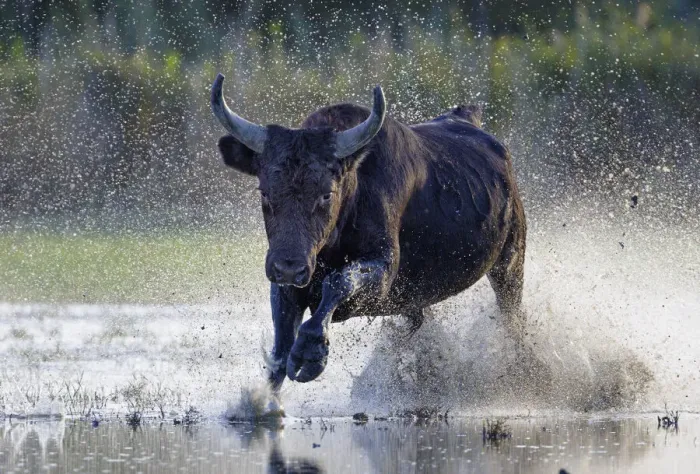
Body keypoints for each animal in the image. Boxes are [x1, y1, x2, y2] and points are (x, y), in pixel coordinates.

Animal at [211, 74, 528, 414]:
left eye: (326, 194)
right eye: (265, 192)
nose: (288, 267)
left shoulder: (383, 273)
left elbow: (338, 284)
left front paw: (310, 354)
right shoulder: (287, 286)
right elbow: (280, 348)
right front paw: (261, 404)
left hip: (510, 263)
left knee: (512, 318)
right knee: (417, 321)